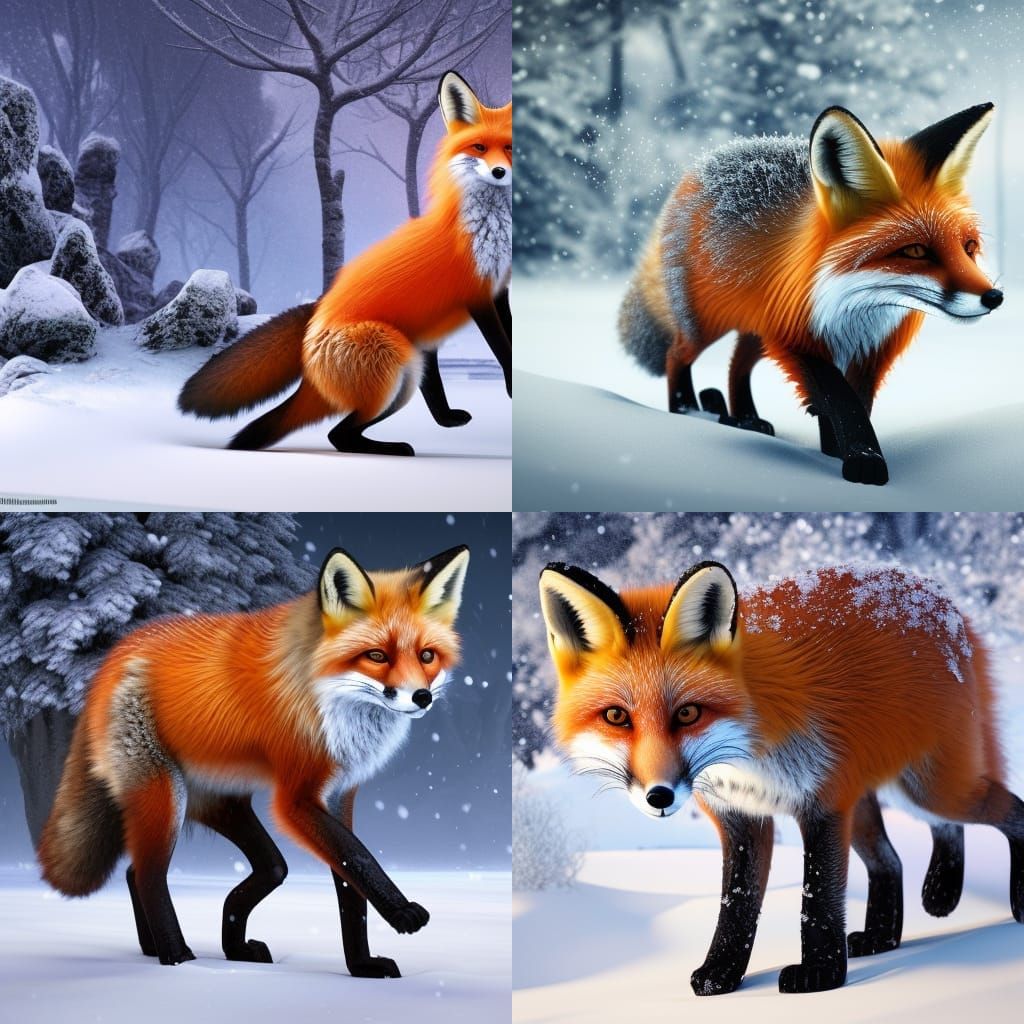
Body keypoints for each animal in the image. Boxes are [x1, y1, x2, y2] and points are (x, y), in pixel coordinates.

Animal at [37, 543, 470, 975]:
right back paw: (176, 956)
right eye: (377, 655)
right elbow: (358, 857)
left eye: (427, 656)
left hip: (221, 804)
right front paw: (400, 911)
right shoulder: (296, 798)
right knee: (149, 876)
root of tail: (112, 659)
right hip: (165, 796)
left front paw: (361, 965)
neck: (326, 699)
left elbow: (350, 888)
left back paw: (198, 947)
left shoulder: (340, 794)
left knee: (253, 867)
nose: (421, 697)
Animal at [177, 70, 511, 456]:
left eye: (511, 148)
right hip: (393, 363)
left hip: (410, 368)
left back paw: (440, 421)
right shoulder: (477, 293)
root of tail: (312, 328)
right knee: (338, 434)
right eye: (479, 148)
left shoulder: (500, 290)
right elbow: (504, 347)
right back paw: (394, 448)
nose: (500, 172)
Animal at [539, 558, 1024, 994]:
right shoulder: (741, 816)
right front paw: (721, 975)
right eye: (617, 717)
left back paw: (995, 898)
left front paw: (821, 975)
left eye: (688, 714)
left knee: (1003, 811)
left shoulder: (823, 803)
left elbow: (818, 896)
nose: (659, 796)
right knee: (893, 859)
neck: (745, 753)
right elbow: (737, 904)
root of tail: (938, 596)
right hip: (871, 799)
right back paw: (887, 934)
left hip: (925, 789)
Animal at [619, 103, 1002, 485]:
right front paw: (864, 462)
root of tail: (705, 165)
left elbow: (854, 402)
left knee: (736, 365)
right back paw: (688, 409)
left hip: (757, 331)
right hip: (706, 324)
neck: (859, 311)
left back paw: (744, 419)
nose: (994, 297)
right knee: (677, 355)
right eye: (916, 251)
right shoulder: (798, 338)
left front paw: (834, 450)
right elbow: (841, 400)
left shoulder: (871, 352)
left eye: (968, 248)